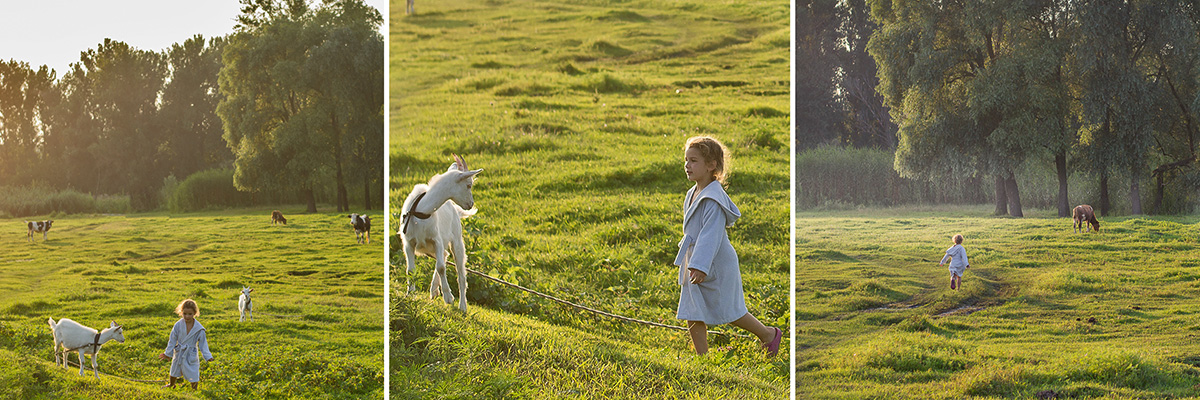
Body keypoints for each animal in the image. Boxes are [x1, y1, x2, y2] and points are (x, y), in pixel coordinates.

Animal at [400, 152, 480, 312]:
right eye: (468, 185)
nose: (471, 204)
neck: (420, 211)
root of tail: (456, 210)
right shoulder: (408, 243)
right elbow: (410, 270)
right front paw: (410, 293)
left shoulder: (436, 240)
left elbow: (441, 267)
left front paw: (448, 297)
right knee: (444, 255)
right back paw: (434, 290)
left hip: (456, 241)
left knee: (460, 274)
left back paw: (462, 306)